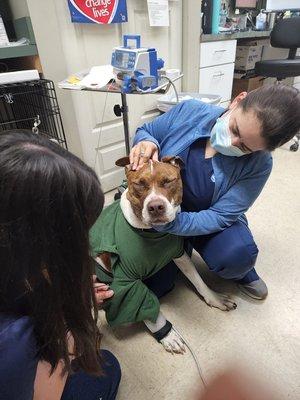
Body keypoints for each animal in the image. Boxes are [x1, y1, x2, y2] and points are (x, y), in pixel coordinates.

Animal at [96, 155, 237, 354]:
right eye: (139, 184)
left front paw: (214, 298)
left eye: (168, 181)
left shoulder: (180, 255)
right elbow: (144, 307)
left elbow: (198, 281)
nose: (156, 207)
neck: (152, 233)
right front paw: (167, 335)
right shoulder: (125, 282)